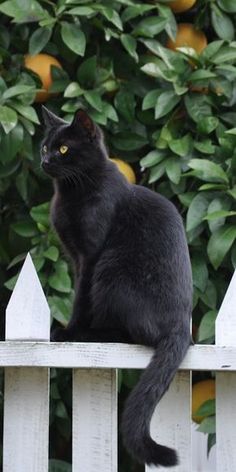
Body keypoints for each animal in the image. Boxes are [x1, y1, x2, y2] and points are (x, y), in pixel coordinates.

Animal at [40, 107, 192, 468]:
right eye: (45, 146)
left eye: (64, 149)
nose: (46, 161)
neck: (71, 192)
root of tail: (183, 324)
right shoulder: (74, 257)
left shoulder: (90, 256)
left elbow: (80, 300)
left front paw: (68, 332)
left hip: (112, 270)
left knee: (134, 335)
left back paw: (92, 334)